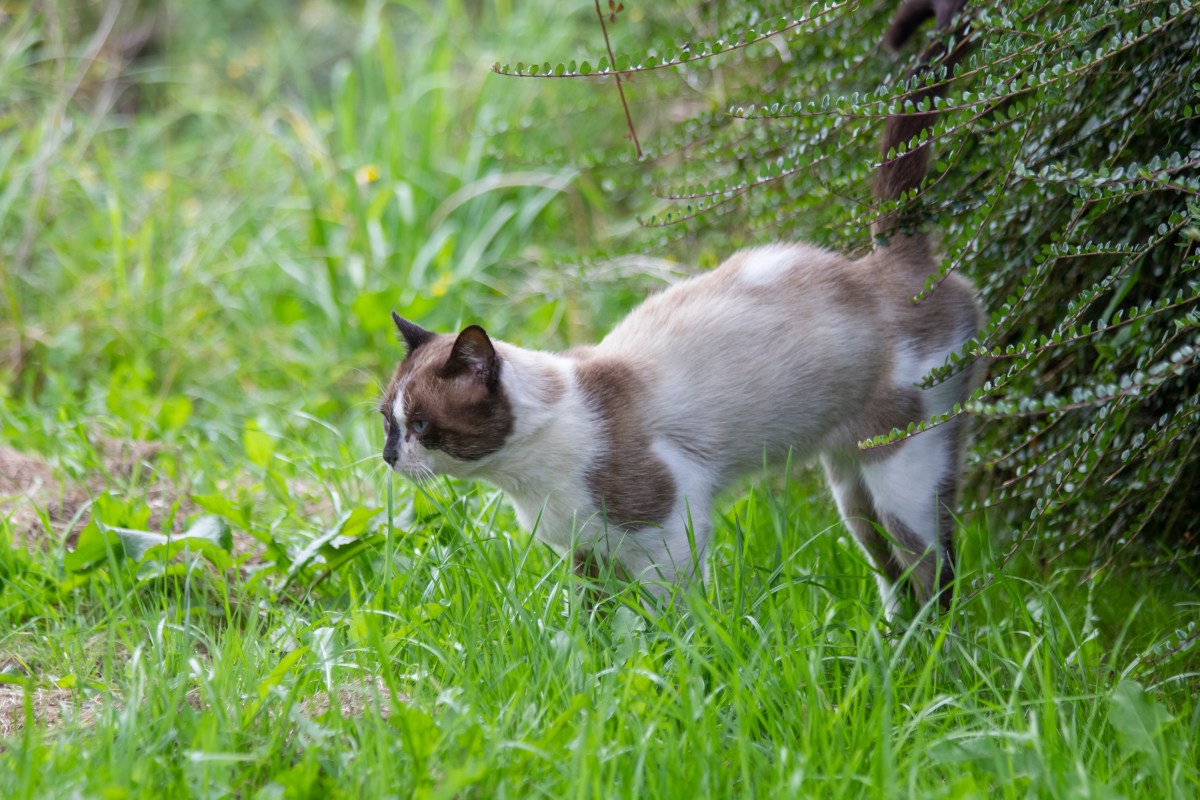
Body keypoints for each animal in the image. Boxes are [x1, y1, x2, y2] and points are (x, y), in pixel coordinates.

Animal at [379, 1, 979, 614]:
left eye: (422, 425)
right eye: (387, 421)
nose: (389, 457)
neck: (525, 476)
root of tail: (888, 257)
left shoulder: (667, 532)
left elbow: (672, 625)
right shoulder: (587, 554)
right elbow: (596, 627)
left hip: (903, 473)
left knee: (934, 571)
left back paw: (934, 641)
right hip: (851, 487)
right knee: (891, 573)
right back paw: (891, 639)